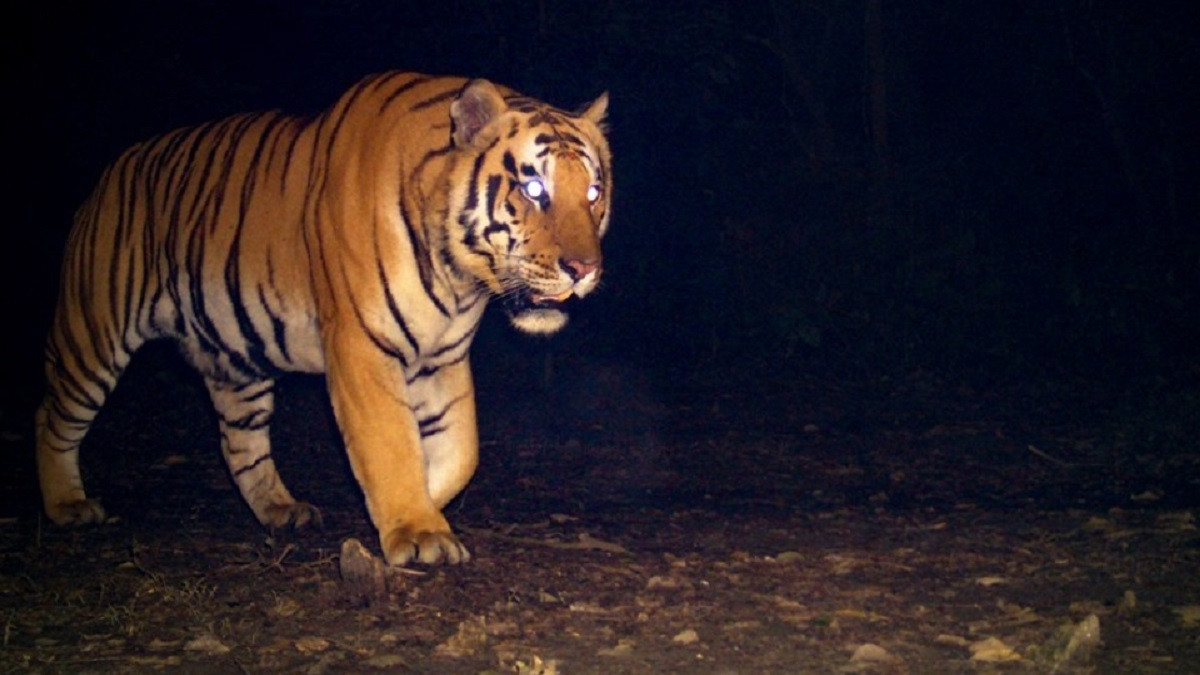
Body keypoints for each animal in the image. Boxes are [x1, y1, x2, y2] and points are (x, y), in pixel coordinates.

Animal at [32, 70, 614, 564]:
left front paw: (415, 508)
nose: (584, 269)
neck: (459, 278)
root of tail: (112, 171)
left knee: (240, 445)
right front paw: (418, 531)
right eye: (534, 189)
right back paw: (67, 506)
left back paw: (281, 510)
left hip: (237, 363)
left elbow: (460, 450)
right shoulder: (363, 346)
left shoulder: (441, 358)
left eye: (592, 192)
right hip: (94, 332)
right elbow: (391, 441)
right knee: (51, 416)